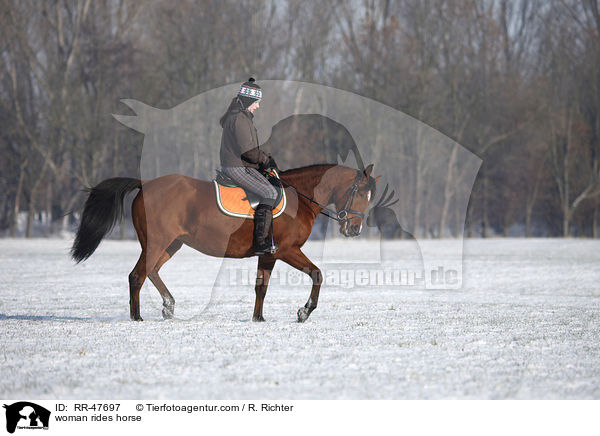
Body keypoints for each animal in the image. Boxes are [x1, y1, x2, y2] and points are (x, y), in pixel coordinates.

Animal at [71, 164, 380, 320]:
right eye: (360, 192)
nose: (355, 228)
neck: (299, 197)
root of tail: (145, 185)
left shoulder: (268, 254)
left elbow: (261, 288)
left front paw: (258, 319)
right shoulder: (287, 250)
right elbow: (317, 274)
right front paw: (304, 311)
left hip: (171, 244)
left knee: (152, 271)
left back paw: (168, 305)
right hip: (158, 242)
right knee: (137, 276)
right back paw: (137, 318)